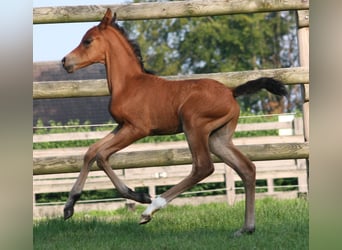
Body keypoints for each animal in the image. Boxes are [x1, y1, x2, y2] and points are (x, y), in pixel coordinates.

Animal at [62, 8, 288, 236]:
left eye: (88, 41)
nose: (65, 61)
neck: (129, 84)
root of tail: (231, 91)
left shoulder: (137, 129)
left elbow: (101, 156)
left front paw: (140, 196)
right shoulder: (121, 126)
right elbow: (90, 152)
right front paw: (69, 206)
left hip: (194, 126)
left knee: (203, 167)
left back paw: (150, 210)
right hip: (218, 138)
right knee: (247, 168)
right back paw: (246, 228)